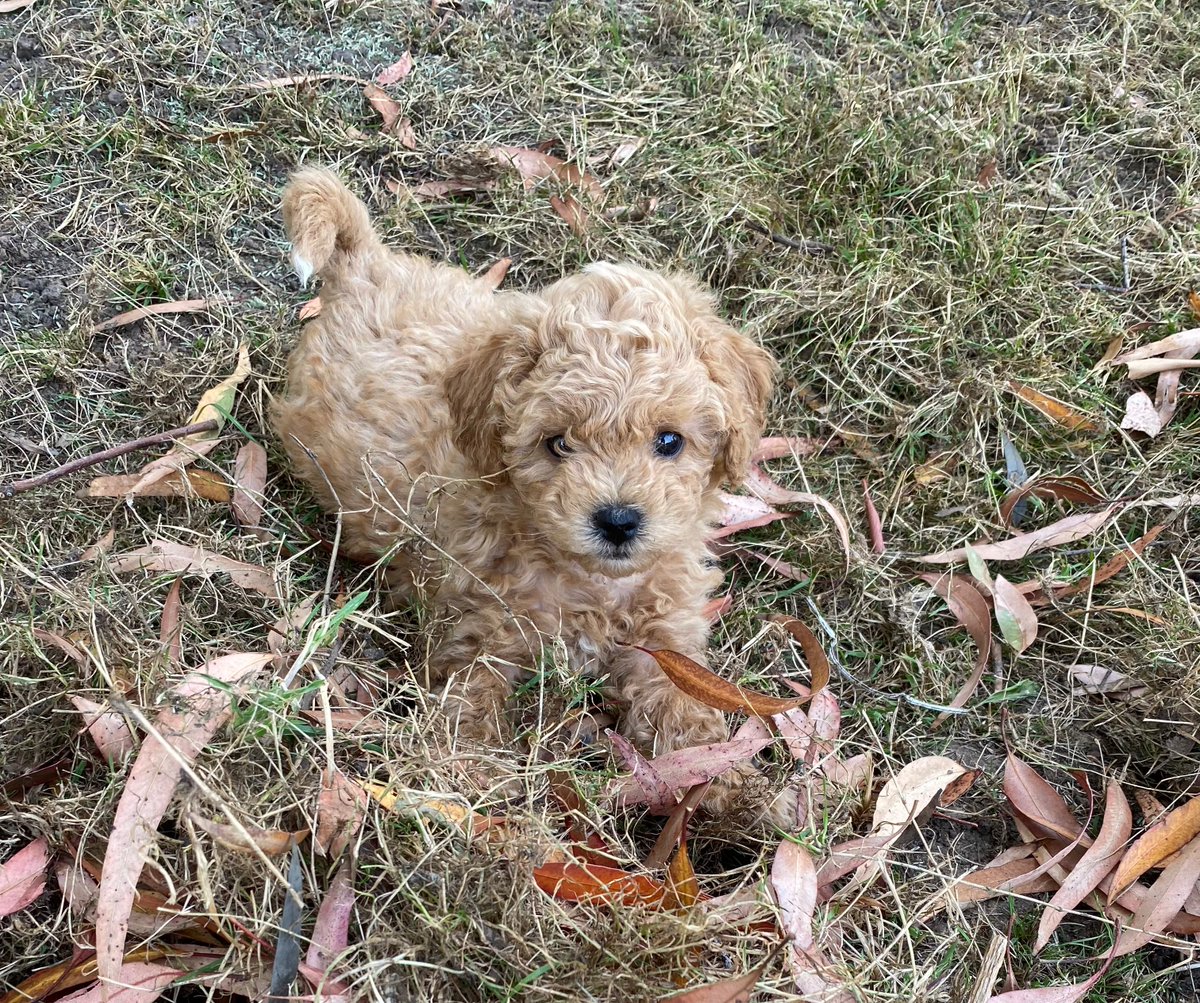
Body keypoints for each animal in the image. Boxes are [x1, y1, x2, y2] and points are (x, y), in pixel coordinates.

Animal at [271, 166, 777, 815]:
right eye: (557, 444)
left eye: (670, 441)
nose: (618, 520)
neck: (589, 580)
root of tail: (366, 264)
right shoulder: (478, 625)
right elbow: (470, 700)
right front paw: (474, 779)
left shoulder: (666, 633)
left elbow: (684, 704)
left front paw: (728, 784)